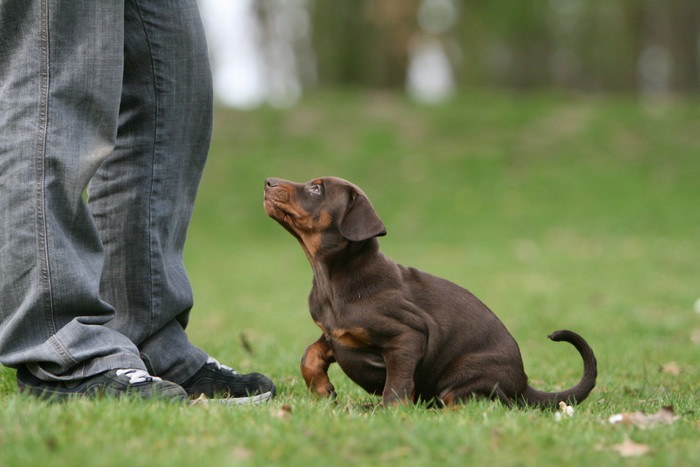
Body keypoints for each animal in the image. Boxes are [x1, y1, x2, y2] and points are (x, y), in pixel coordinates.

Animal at [262, 177, 596, 408]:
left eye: (316, 189)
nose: (268, 182)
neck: (333, 278)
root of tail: (523, 383)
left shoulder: (407, 336)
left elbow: (396, 386)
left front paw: (390, 412)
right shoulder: (335, 333)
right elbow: (309, 354)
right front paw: (322, 389)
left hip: (467, 373)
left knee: (471, 403)